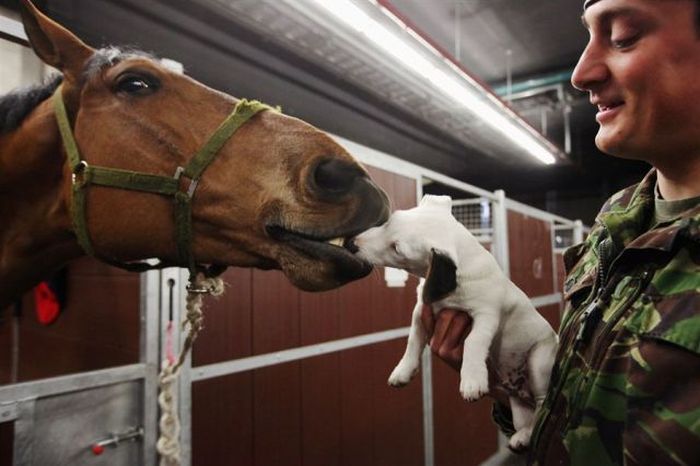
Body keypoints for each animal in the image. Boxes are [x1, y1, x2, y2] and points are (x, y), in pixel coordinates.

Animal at [356, 194, 556, 452]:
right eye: (389, 221)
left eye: (397, 248)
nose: (352, 243)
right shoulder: (421, 311)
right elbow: (413, 341)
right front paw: (403, 370)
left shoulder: (486, 316)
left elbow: (474, 341)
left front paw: (472, 379)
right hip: (518, 402)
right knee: (527, 415)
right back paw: (523, 435)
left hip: (539, 363)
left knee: (542, 405)